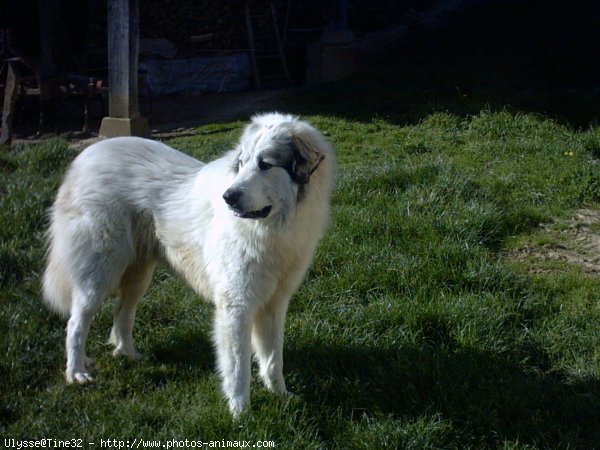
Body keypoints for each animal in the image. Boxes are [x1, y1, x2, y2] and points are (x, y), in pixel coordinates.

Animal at [42, 112, 332, 414]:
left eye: (265, 165)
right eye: (242, 163)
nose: (228, 197)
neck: (272, 228)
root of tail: (85, 157)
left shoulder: (274, 303)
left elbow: (274, 358)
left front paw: (281, 396)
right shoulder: (236, 305)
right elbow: (238, 367)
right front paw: (240, 412)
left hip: (138, 274)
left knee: (121, 313)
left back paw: (129, 355)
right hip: (99, 273)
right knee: (76, 323)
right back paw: (76, 372)